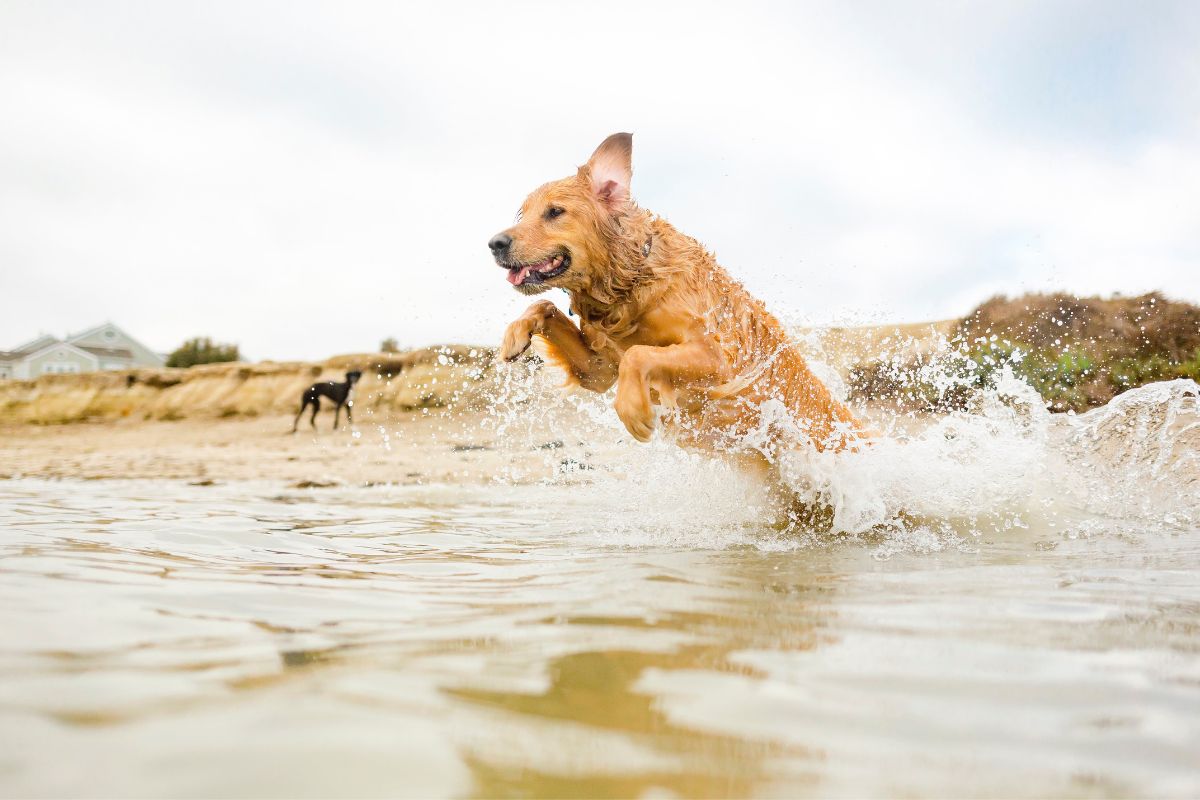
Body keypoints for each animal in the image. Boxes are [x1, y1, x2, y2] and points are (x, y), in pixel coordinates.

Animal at [492, 134, 868, 465]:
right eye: (522, 214)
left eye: (555, 212)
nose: (495, 243)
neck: (629, 283)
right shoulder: (599, 369)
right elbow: (544, 306)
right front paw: (515, 335)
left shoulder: (717, 358)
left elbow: (639, 355)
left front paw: (633, 410)